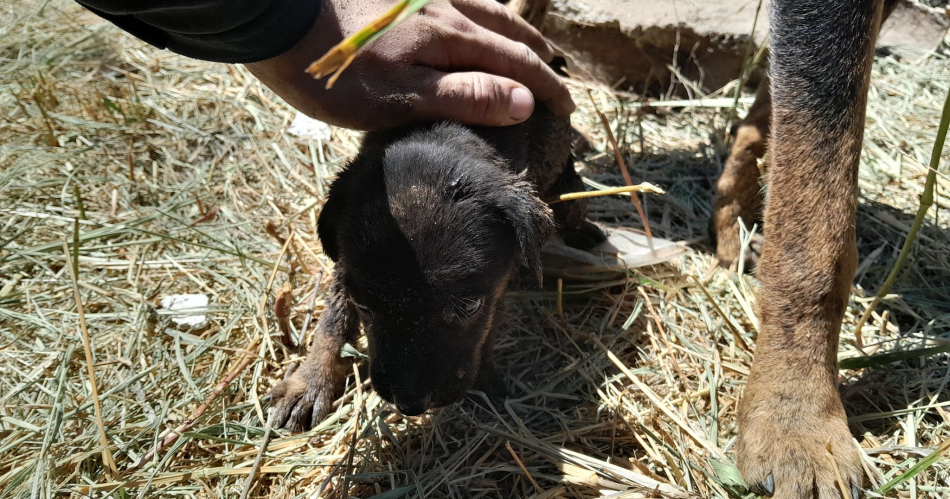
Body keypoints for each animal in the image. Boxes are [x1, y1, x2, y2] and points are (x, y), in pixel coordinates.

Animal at [268, 104, 604, 430]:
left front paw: (484, 379)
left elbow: (487, 330)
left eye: (469, 306)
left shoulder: (496, 287)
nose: (409, 404)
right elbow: (331, 323)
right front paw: (308, 384)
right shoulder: (344, 271)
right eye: (363, 307)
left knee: (572, 202)